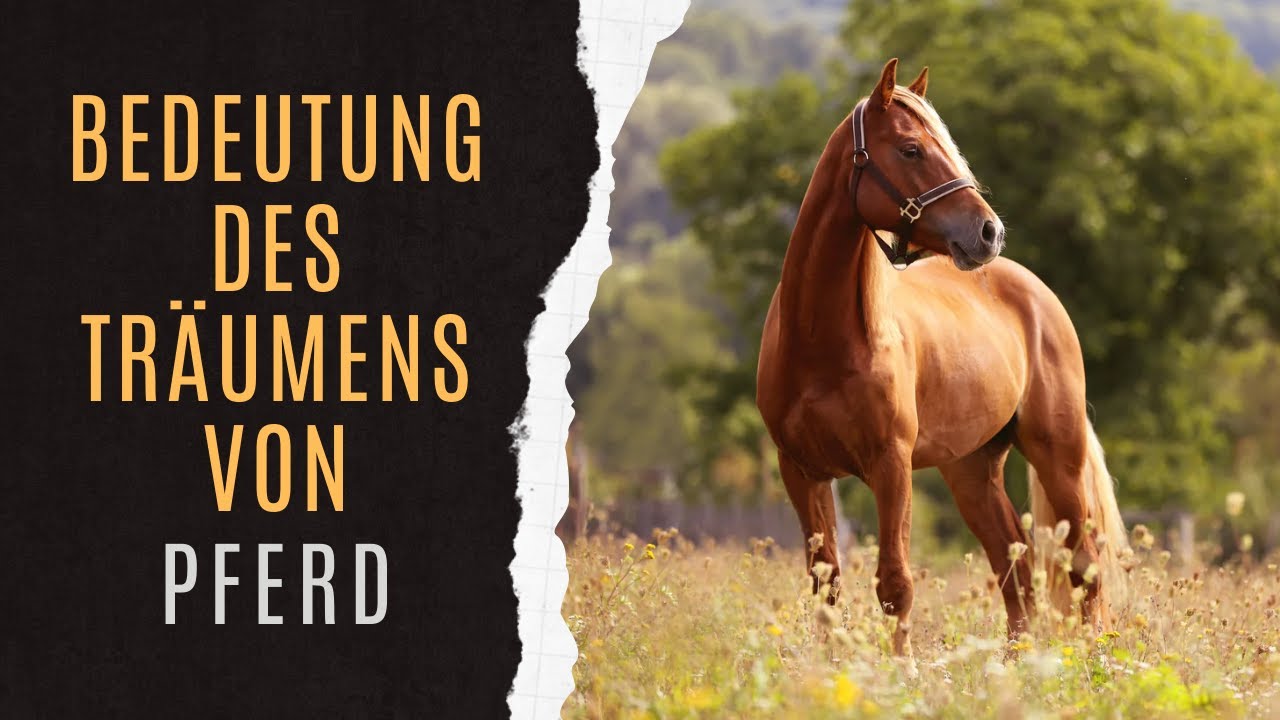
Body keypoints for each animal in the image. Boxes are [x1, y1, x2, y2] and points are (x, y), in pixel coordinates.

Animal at [756, 59, 1129, 656]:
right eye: (911, 149)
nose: (989, 231)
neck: (821, 343)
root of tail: (1036, 292)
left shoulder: (890, 465)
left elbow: (895, 583)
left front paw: (901, 669)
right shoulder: (802, 471)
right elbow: (826, 585)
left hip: (1058, 456)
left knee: (1083, 566)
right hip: (972, 470)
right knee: (1015, 570)